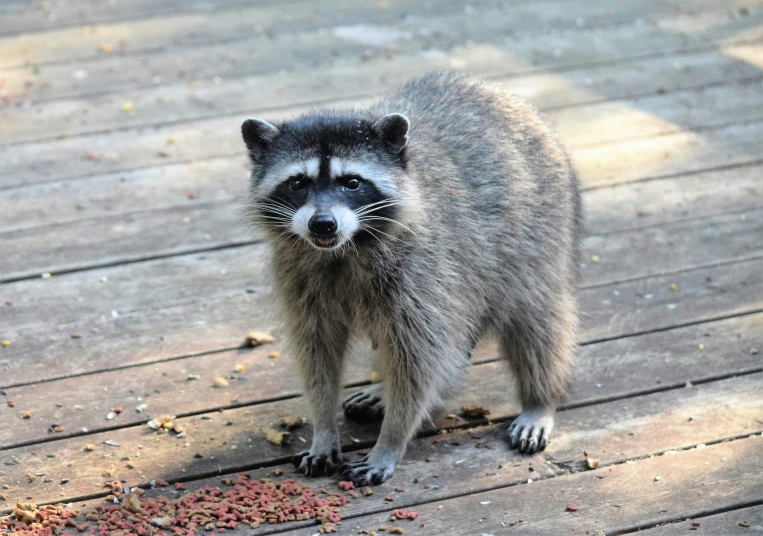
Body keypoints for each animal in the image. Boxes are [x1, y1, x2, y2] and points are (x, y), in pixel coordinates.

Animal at [242, 71, 580, 486]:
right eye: (298, 183)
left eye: (351, 182)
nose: (323, 223)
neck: (343, 249)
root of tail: (503, 96)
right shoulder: (300, 275)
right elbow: (317, 351)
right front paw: (324, 427)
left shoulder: (423, 271)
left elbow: (418, 359)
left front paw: (391, 439)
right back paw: (382, 389)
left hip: (539, 238)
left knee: (536, 323)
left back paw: (540, 399)